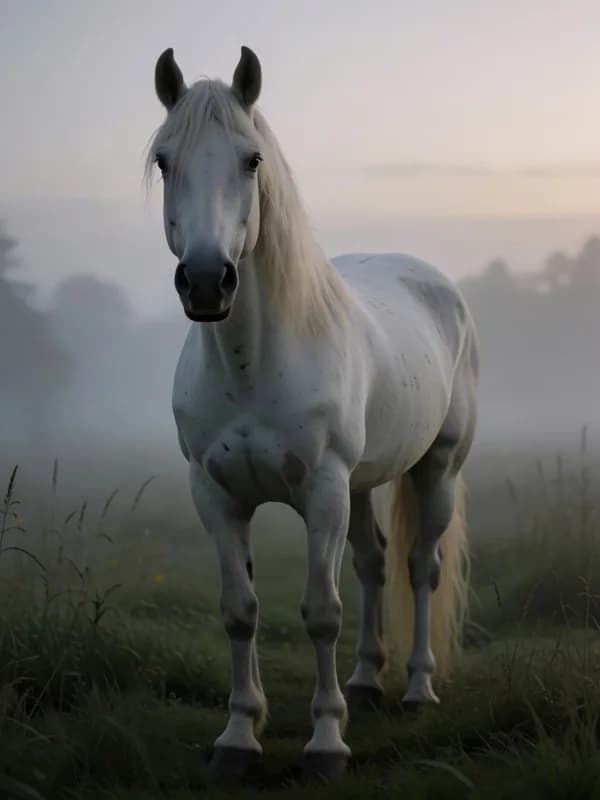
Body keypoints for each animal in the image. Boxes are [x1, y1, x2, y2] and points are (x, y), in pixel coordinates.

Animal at [145, 45, 479, 780]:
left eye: (251, 160)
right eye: (165, 160)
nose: (207, 282)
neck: (253, 366)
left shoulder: (322, 490)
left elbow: (322, 611)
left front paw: (327, 743)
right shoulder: (216, 495)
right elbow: (239, 610)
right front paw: (239, 736)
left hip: (435, 468)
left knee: (420, 567)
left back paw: (417, 689)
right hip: (361, 484)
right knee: (375, 563)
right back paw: (365, 680)